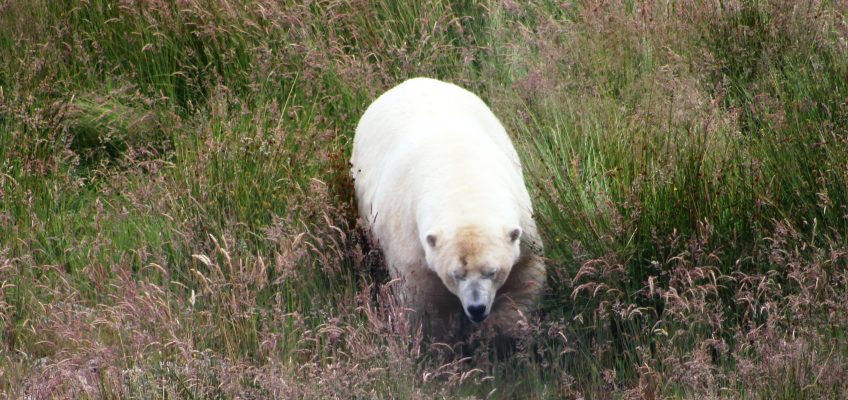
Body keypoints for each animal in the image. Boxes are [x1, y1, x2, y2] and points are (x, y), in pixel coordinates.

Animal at [350, 76, 544, 338]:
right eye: (456, 274)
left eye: (491, 271)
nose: (476, 308)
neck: (461, 179)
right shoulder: (410, 243)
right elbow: (423, 303)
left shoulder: (522, 225)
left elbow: (525, 276)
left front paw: (503, 330)